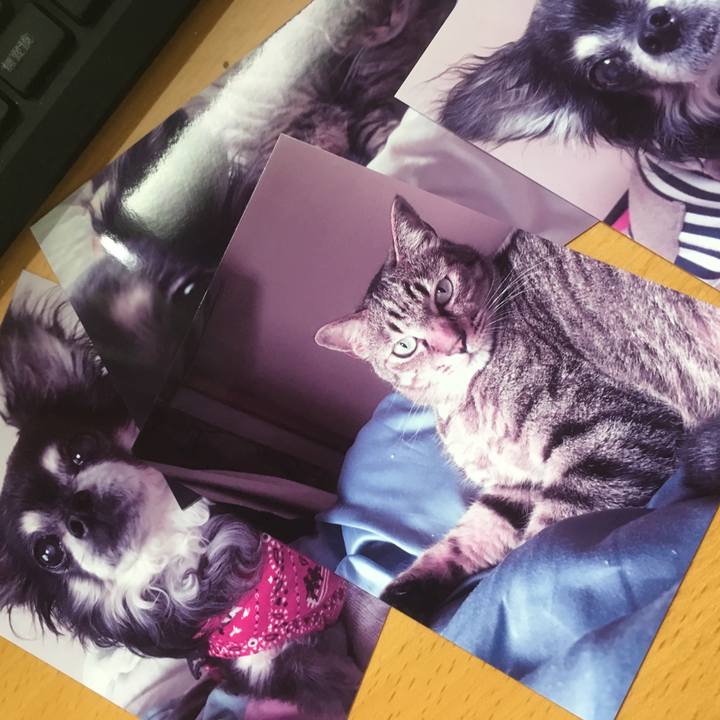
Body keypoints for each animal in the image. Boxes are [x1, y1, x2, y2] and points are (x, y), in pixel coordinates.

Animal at [315, 196, 720, 622]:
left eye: (443, 291)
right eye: (405, 346)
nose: (454, 342)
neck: (468, 402)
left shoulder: (615, 434)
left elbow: (538, 547)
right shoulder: (513, 488)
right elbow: (468, 540)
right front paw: (401, 595)